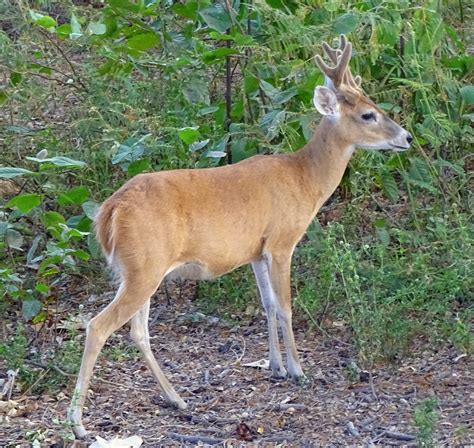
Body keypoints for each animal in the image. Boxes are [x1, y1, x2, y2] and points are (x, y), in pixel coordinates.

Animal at [67, 34, 412, 438]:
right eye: (368, 114)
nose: (406, 136)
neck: (304, 180)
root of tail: (109, 211)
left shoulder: (256, 252)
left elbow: (267, 304)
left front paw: (275, 366)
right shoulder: (282, 241)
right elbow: (286, 306)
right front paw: (298, 370)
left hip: (137, 269)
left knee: (138, 331)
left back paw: (177, 399)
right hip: (143, 267)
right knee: (98, 326)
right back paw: (78, 423)